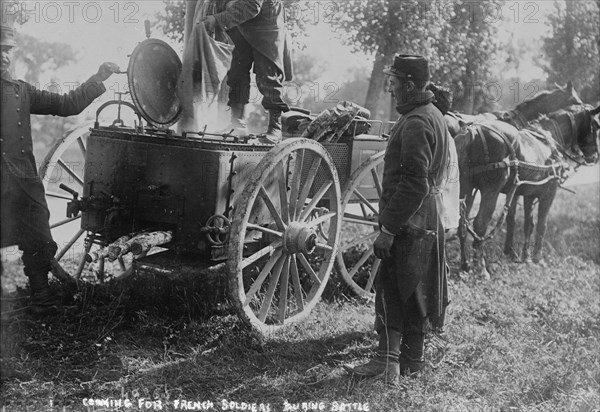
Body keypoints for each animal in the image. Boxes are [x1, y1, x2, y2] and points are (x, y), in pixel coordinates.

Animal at [458, 103, 596, 278]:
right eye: (596, 125)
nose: (594, 156)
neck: (548, 140)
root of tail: (473, 131)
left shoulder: (529, 195)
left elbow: (528, 225)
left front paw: (526, 257)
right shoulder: (549, 193)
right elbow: (542, 225)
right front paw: (537, 259)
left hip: (465, 189)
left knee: (461, 223)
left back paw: (466, 265)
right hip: (490, 191)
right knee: (480, 225)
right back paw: (482, 269)